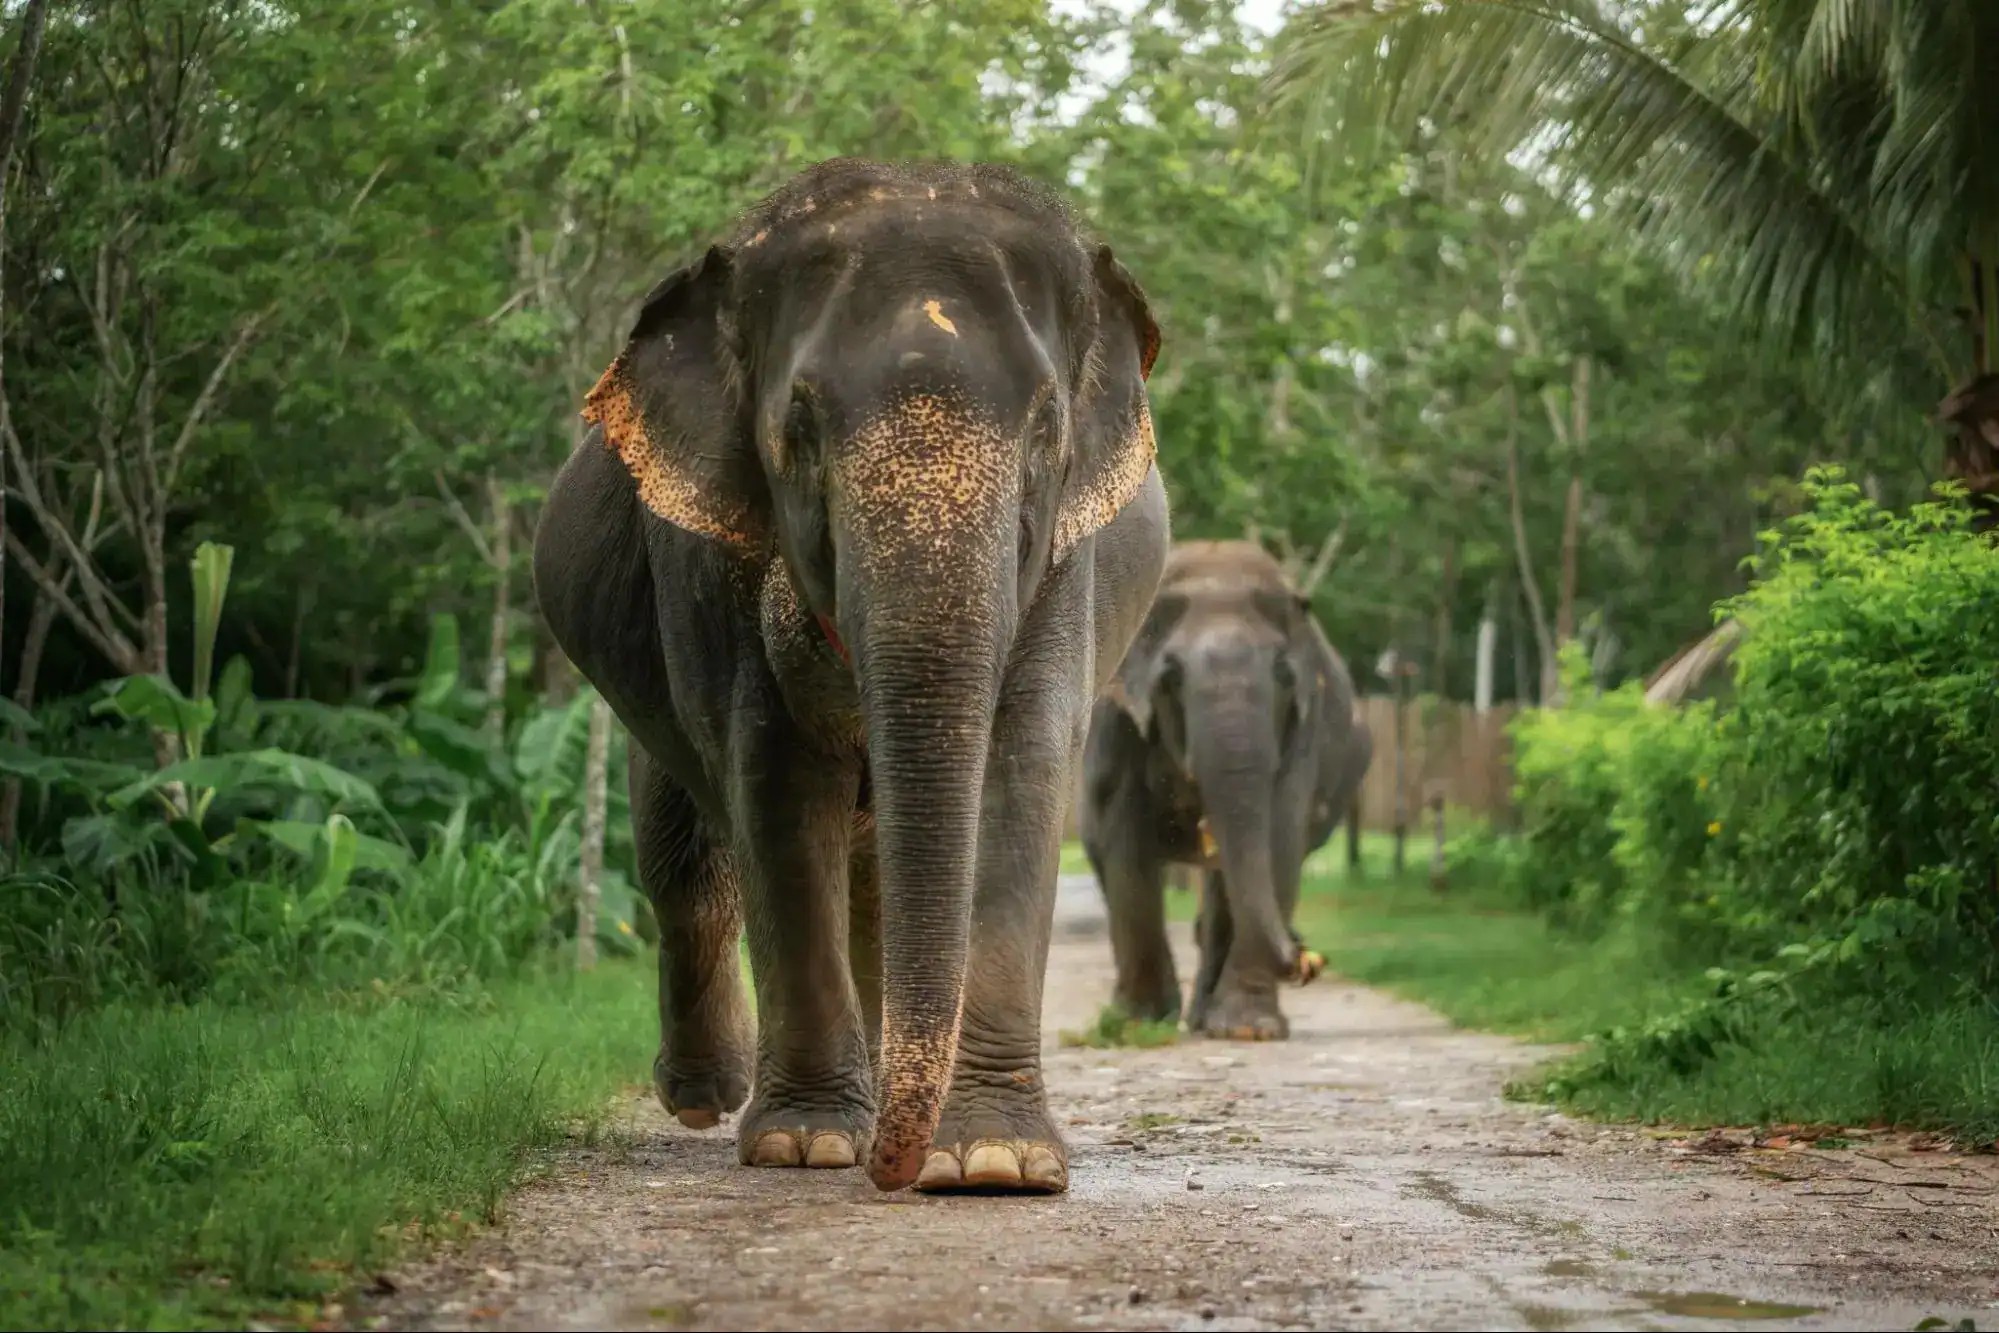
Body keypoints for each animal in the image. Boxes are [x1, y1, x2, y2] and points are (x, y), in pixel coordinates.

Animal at [532, 159, 1170, 1196]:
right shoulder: (706, 568)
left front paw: (994, 1163)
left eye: (1046, 430)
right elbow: (775, 786)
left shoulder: (1065, 568)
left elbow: (1021, 768)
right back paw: (712, 1097)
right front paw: (807, 1145)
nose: (892, 1174)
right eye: (797, 428)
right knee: (684, 860)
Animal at [1078, 540, 1373, 1040]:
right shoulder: (1115, 723)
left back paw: (1207, 1022)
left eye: (1284, 676)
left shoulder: (1305, 726)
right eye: (1171, 677)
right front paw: (1136, 1025)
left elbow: (1280, 836)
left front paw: (1249, 1030)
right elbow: (1124, 840)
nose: (1306, 961)